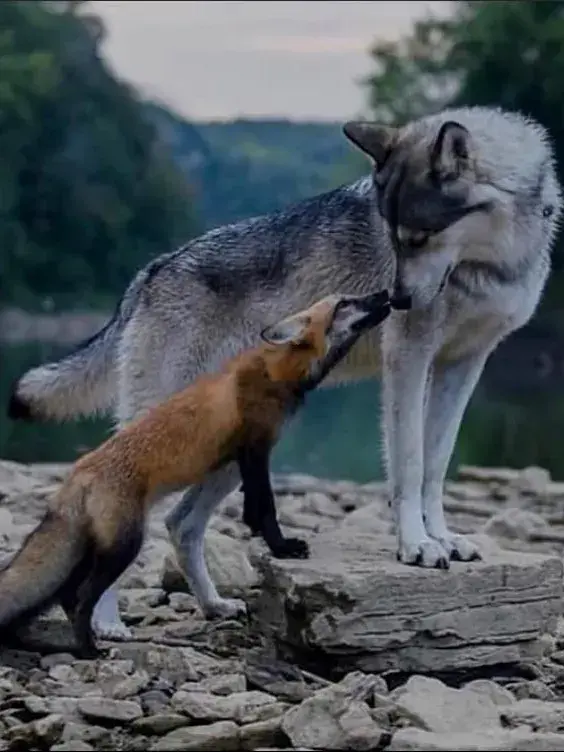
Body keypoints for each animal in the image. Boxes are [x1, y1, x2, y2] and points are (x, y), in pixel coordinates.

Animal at [0, 291, 391, 658]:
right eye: (345, 303)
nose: (385, 294)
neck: (275, 373)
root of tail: (77, 471)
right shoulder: (255, 450)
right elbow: (264, 508)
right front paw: (282, 547)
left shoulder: (243, 457)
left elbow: (253, 509)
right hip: (124, 546)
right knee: (82, 599)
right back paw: (90, 649)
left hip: (93, 551)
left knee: (68, 596)